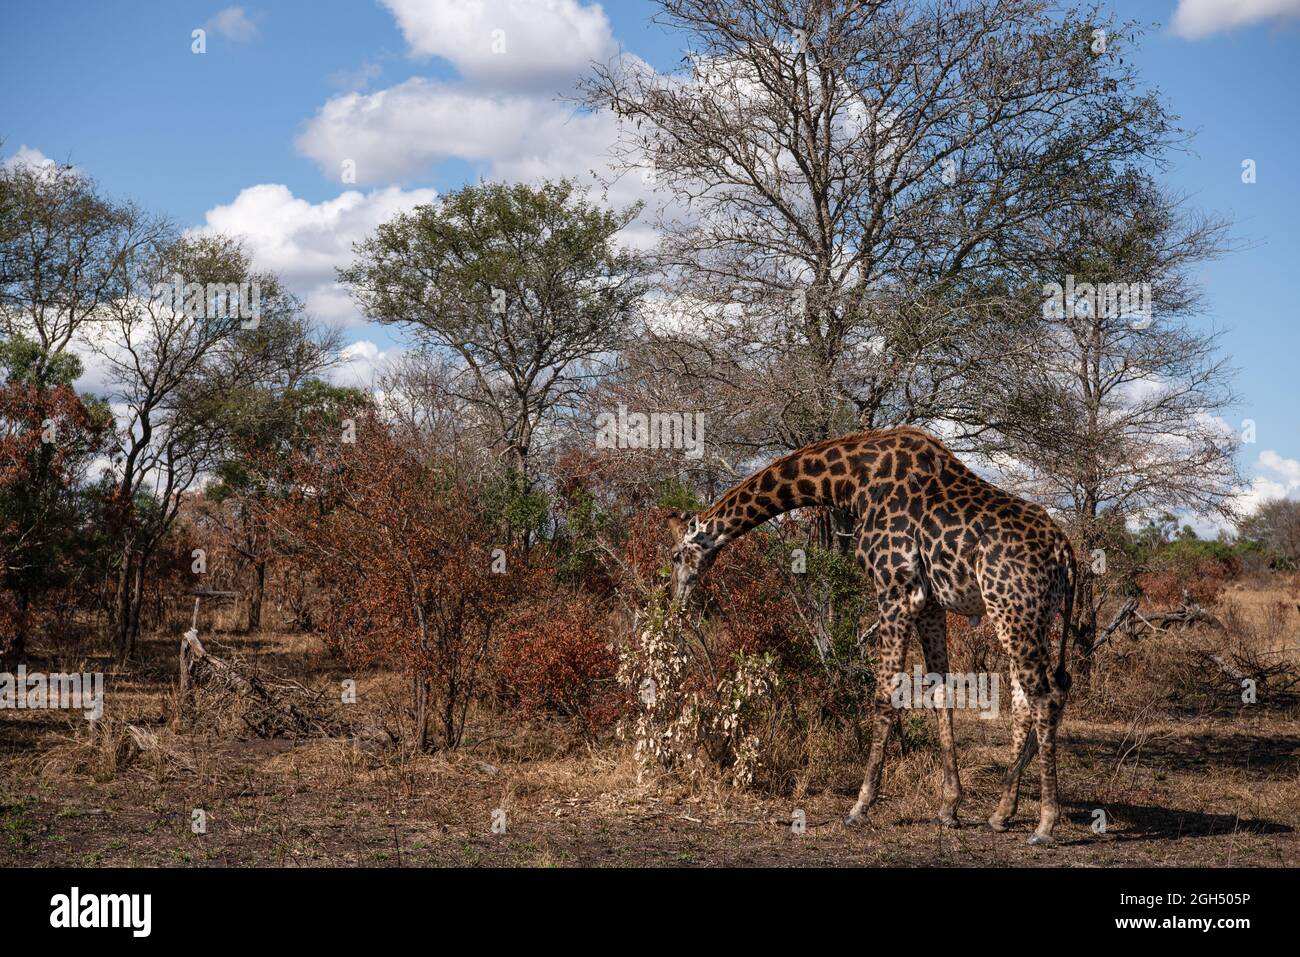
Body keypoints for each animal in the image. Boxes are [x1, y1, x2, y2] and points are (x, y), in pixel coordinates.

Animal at [666, 427, 1076, 844]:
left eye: (676, 556)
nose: (675, 599)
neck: (850, 482)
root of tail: (1066, 553)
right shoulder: (929, 602)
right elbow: (940, 690)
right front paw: (949, 808)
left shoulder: (896, 589)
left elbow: (885, 695)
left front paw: (860, 806)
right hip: (1033, 616)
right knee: (1038, 694)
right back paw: (1002, 812)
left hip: (1013, 609)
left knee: (1043, 697)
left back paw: (1045, 823)